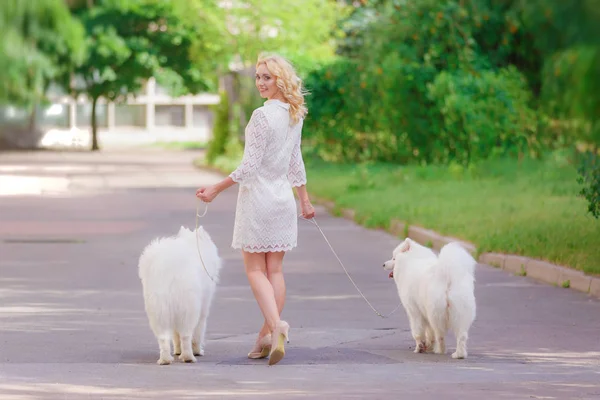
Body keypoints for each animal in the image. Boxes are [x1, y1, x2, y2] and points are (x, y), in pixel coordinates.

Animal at [137, 227, 221, 364]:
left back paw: (165, 359)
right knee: (186, 335)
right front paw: (197, 351)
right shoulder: (203, 309)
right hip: (188, 308)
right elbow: (197, 333)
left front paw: (177, 351)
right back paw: (189, 357)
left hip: (159, 309)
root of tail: (168, 267)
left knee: (163, 338)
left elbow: (175, 336)